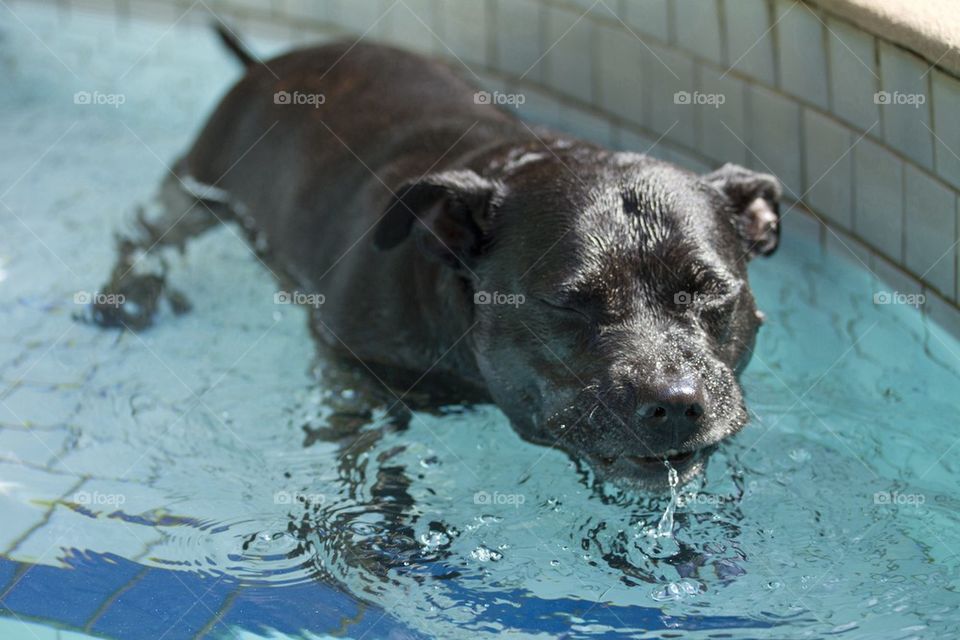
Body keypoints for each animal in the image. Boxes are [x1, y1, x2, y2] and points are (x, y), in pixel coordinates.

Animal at [95, 26, 780, 484]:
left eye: (713, 292)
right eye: (568, 303)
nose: (677, 401)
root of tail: (267, 60)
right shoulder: (352, 376)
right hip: (198, 184)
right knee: (146, 233)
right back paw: (125, 299)